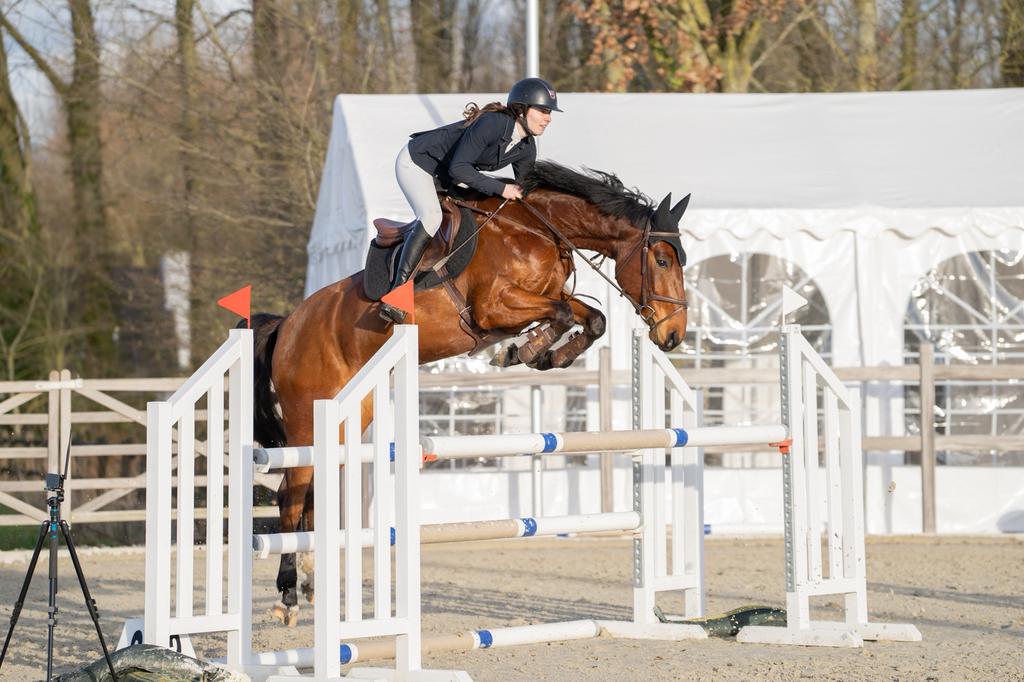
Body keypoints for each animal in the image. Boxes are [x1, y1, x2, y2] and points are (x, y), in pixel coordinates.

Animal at [249, 161, 690, 626]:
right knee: (290, 495)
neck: (536, 228)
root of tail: (288, 324)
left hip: (346, 415)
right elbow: (563, 312)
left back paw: (313, 585)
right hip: (306, 416)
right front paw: (523, 350)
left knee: (313, 494)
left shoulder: (547, 297)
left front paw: (537, 354)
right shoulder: (495, 306)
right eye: (662, 260)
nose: (673, 335)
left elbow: (591, 317)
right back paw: (287, 597)